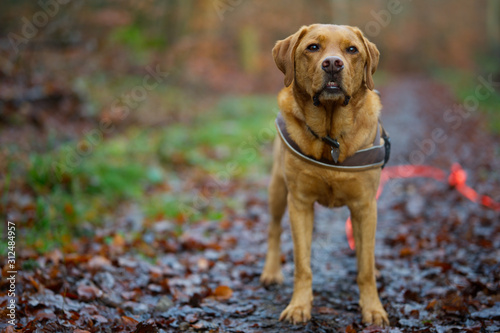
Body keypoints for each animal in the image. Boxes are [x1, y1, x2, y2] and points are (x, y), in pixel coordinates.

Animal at [262, 24, 390, 326]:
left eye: (352, 49)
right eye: (312, 47)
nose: (333, 64)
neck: (331, 137)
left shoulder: (365, 205)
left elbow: (365, 266)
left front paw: (373, 308)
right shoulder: (299, 203)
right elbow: (302, 264)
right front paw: (299, 306)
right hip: (277, 189)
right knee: (274, 229)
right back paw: (271, 272)